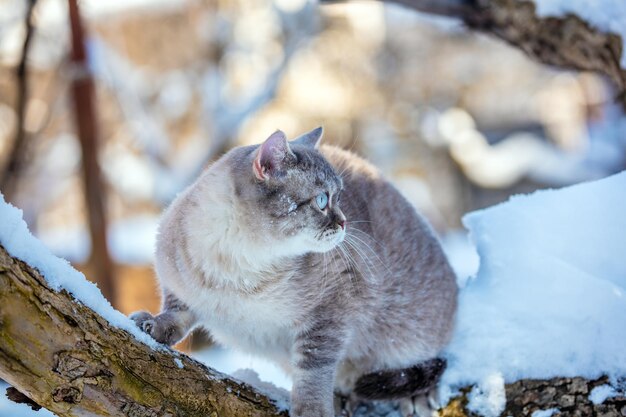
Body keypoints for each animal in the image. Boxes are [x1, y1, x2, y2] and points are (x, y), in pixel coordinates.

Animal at [130, 127, 454, 416]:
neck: (237, 267)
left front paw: (313, 410)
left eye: (340, 197)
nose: (345, 222)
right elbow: (175, 314)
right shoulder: (177, 286)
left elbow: (312, 374)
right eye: (322, 200)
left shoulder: (328, 318)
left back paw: (414, 396)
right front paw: (154, 326)